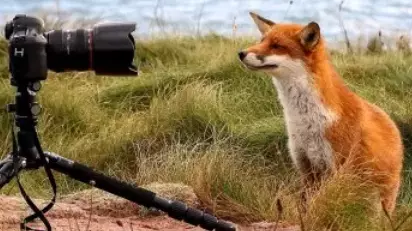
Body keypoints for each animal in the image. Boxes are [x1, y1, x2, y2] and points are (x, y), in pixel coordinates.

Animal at [240, 11, 404, 214]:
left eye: (277, 46)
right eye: (262, 41)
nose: (241, 53)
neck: (305, 120)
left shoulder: (336, 168)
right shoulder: (306, 166)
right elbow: (304, 206)